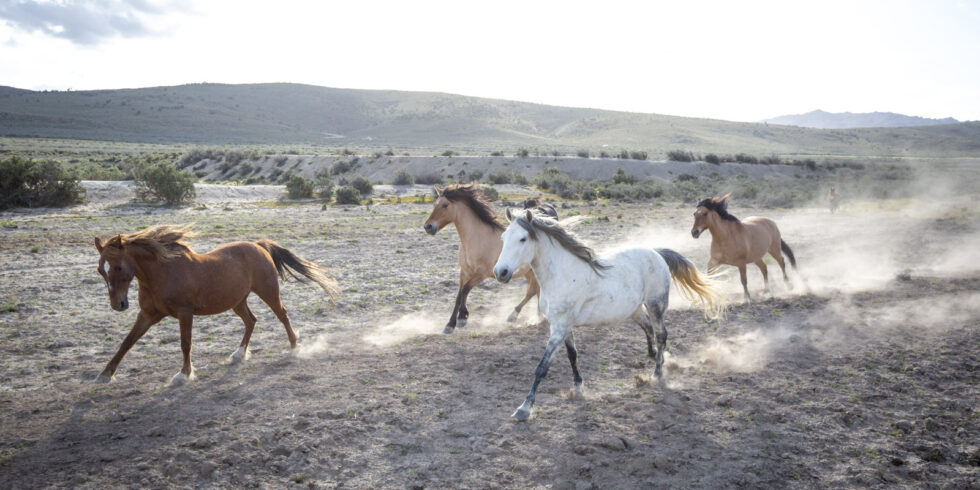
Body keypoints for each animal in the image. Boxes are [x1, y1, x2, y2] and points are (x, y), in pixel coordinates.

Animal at [92, 224, 339, 385]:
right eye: (100, 270)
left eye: (118, 267)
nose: (118, 304)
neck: (162, 274)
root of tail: (258, 245)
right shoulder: (147, 315)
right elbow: (127, 342)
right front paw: (105, 374)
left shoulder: (185, 313)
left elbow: (185, 344)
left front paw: (184, 374)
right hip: (237, 301)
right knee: (251, 321)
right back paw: (239, 354)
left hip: (268, 292)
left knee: (282, 315)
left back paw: (295, 346)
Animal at [423, 183, 540, 334]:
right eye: (434, 204)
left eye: (445, 205)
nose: (428, 226)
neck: (476, 239)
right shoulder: (464, 272)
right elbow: (459, 295)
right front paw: (450, 325)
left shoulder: (482, 273)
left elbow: (465, 290)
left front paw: (462, 318)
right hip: (528, 272)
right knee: (535, 291)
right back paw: (532, 316)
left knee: (534, 291)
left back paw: (523, 316)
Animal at [493, 209, 724, 420]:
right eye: (503, 238)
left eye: (523, 239)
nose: (500, 272)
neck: (562, 275)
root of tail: (656, 253)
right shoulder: (564, 326)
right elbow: (573, 355)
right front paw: (578, 388)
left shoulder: (559, 328)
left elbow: (542, 367)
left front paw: (524, 408)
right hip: (635, 310)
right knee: (649, 328)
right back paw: (654, 356)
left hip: (656, 305)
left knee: (661, 334)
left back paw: (657, 373)